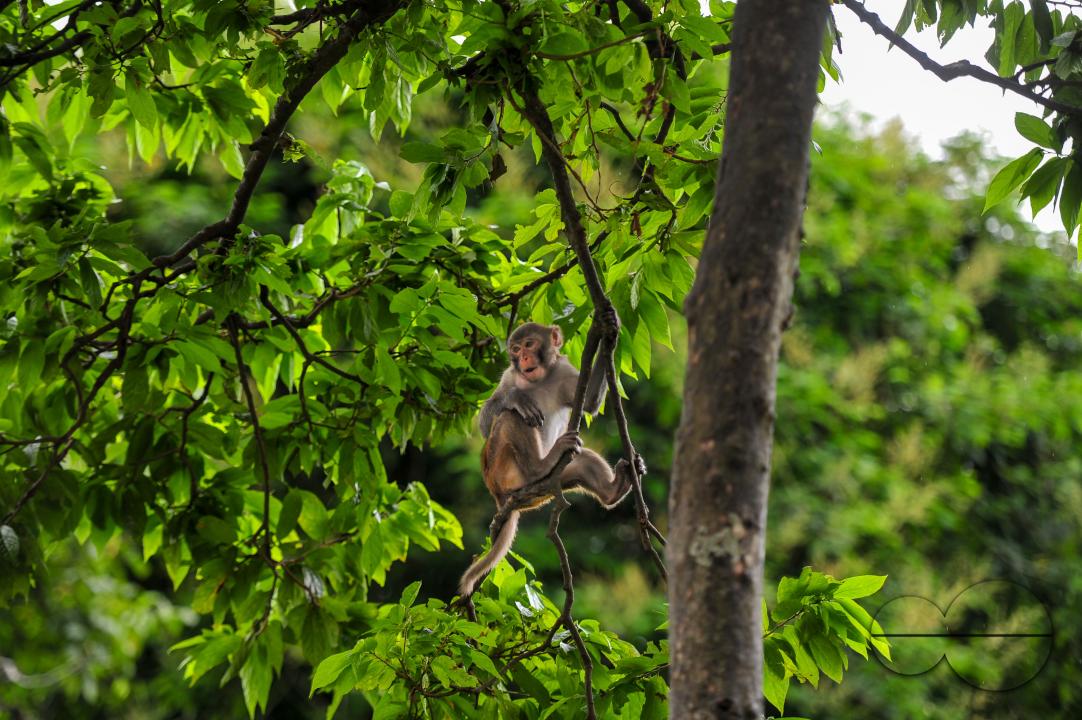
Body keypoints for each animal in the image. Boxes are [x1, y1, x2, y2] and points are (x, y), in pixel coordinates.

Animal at [459, 317, 646, 599]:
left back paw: (614, 489)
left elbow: (589, 401)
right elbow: (485, 422)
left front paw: (608, 332)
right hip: (504, 472)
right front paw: (515, 398)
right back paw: (537, 465)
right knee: (512, 416)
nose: (523, 358)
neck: (541, 379)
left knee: (579, 460)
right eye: (515, 350)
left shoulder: (563, 371)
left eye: (529, 344)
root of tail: (499, 495)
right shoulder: (509, 376)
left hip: (550, 484)